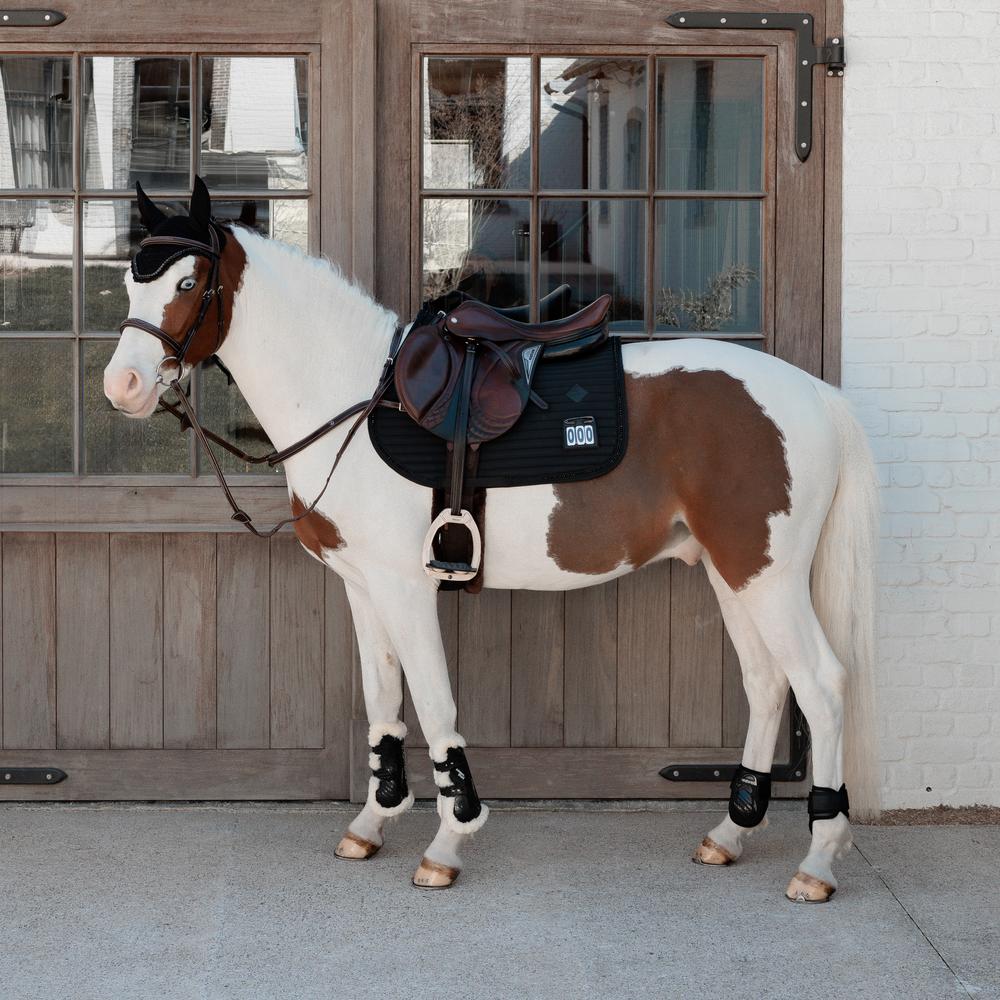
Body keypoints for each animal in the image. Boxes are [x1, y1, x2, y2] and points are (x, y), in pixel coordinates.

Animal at [104, 178, 880, 901]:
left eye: (187, 283)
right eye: (131, 281)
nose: (123, 386)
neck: (353, 397)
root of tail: (818, 394)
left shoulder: (406, 588)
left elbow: (433, 701)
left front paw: (449, 841)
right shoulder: (363, 587)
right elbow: (383, 699)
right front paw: (373, 822)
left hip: (766, 576)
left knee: (821, 684)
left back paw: (818, 860)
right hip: (733, 572)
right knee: (768, 682)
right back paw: (730, 832)